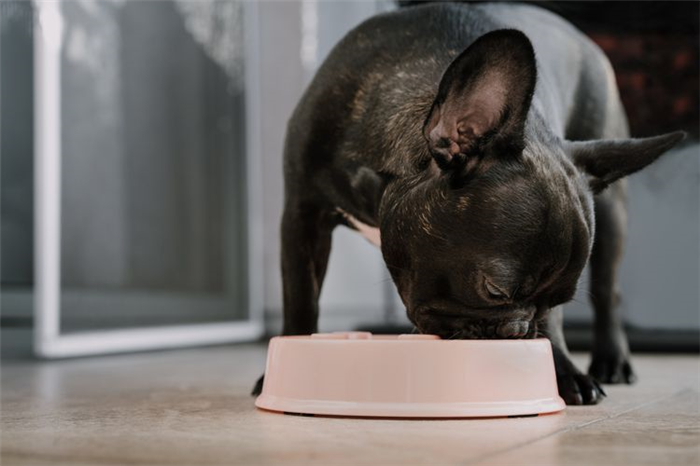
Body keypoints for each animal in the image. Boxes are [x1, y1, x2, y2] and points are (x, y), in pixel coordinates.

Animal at [252, 0, 684, 404]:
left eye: (557, 300)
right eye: (494, 291)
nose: (518, 330)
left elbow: (557, 324)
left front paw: (562, 369)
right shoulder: (302, 216)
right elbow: (300, 298)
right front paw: (283, 365)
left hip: (612, 214)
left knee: (609, 290)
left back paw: (613, 359)